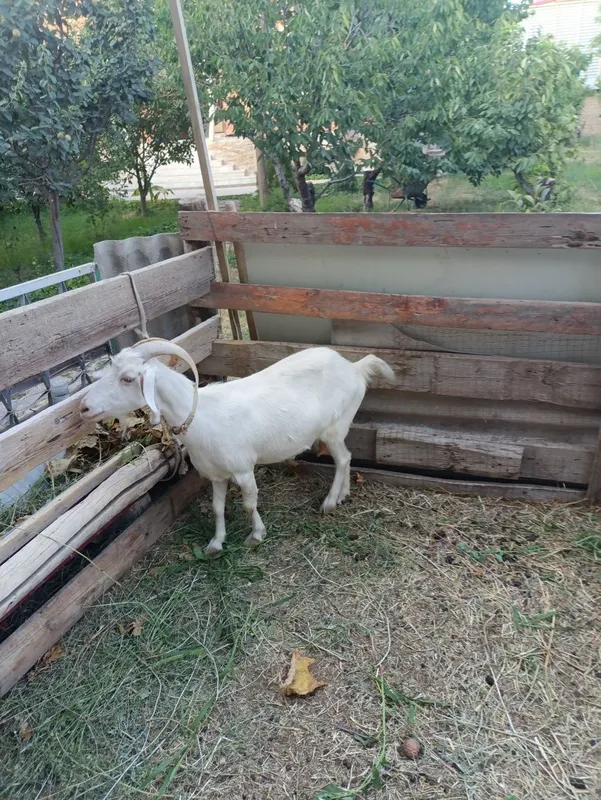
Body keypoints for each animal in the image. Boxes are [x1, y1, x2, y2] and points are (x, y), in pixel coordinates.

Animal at [80, 341, 395, 555]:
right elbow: (217, 507)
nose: (83, 407)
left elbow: (248, 503)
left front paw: (256, 535)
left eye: (127, 378)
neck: (202, 415)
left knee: (341, 459)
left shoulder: (243, 469)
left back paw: (329, 502)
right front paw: (216, 542)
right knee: (348, 457)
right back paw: (343, 495)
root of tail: (354, 367)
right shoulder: (215, 475)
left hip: (334, 427)